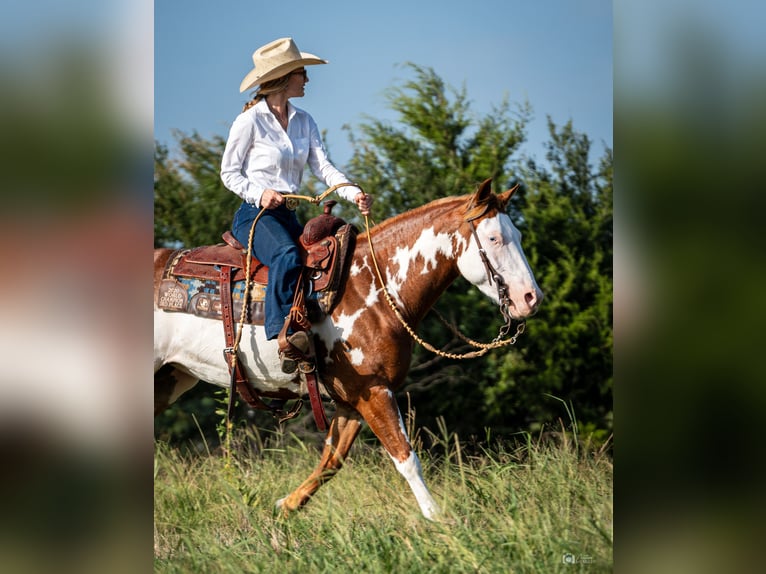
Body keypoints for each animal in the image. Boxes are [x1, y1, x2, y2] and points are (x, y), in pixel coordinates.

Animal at [153, 178, 544, 520]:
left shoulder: (351, 400)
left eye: (520, 236)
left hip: (170, 379)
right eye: (494, 238)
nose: (531, 298)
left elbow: (332, 460)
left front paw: (284, 507)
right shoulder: (374, 392)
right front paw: (439, 521)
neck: (372, 285)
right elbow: (405, 457)